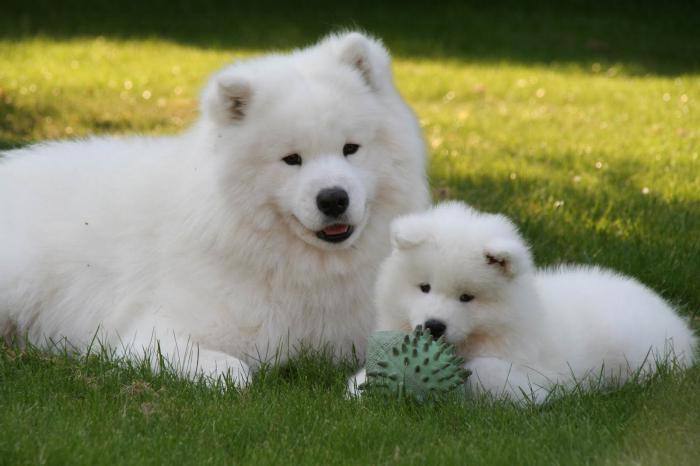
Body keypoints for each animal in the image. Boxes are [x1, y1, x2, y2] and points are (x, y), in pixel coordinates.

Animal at [348, 202, 696, 402]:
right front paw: (360, 389)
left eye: (466, 298)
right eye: (424, 287)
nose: (434, 326)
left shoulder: (538, 375)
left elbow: (485, 371)